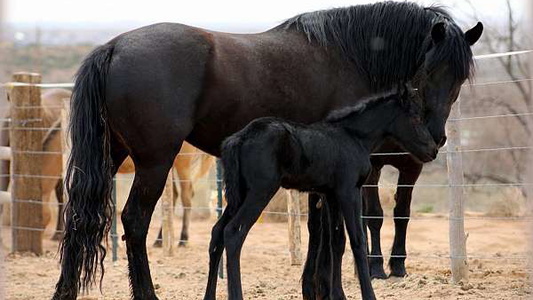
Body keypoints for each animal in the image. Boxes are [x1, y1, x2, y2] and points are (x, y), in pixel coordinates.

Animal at [204, 85, 436, 298]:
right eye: (416, 117)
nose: (432, 150)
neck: (354, 137)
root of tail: (239, 139)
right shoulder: (348, 191)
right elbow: (357, 240)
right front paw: (368, 294)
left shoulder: (330, 194)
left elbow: (337, 242)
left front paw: (338, 295)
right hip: (259, 192)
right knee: (234, 232)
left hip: (239, 195)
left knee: (217, 233)